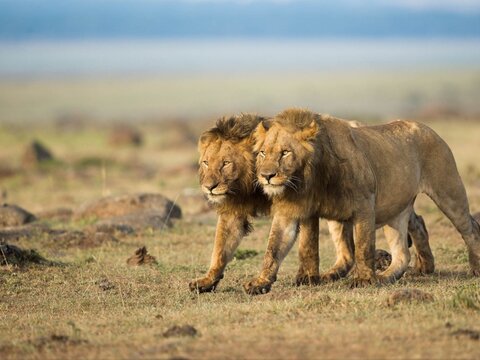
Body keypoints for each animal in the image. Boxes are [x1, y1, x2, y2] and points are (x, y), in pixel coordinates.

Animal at [190, 114, 432, 294]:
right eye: (205, 162)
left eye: (225, 164)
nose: (209, 187)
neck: (252, 186)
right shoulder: (235, 212)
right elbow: (221, 249)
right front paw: (207, 280)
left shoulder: (302, 204)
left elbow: (303, 243)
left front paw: (305, 278)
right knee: (410, 221)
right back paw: (424, 265)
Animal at [244, 108, 480, 294]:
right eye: (263, 153)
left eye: (285, 153)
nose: (266, 176)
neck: (307, 180)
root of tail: (425, 126)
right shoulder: (292, 211)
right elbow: (279, 248)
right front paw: (262, 283)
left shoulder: (365, 205)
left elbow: (364, 246)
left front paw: (364, 280)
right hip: (393, 209)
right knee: (401, 250)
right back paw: (397, 273)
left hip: (448, 190)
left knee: (469, 228)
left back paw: (475, 266)